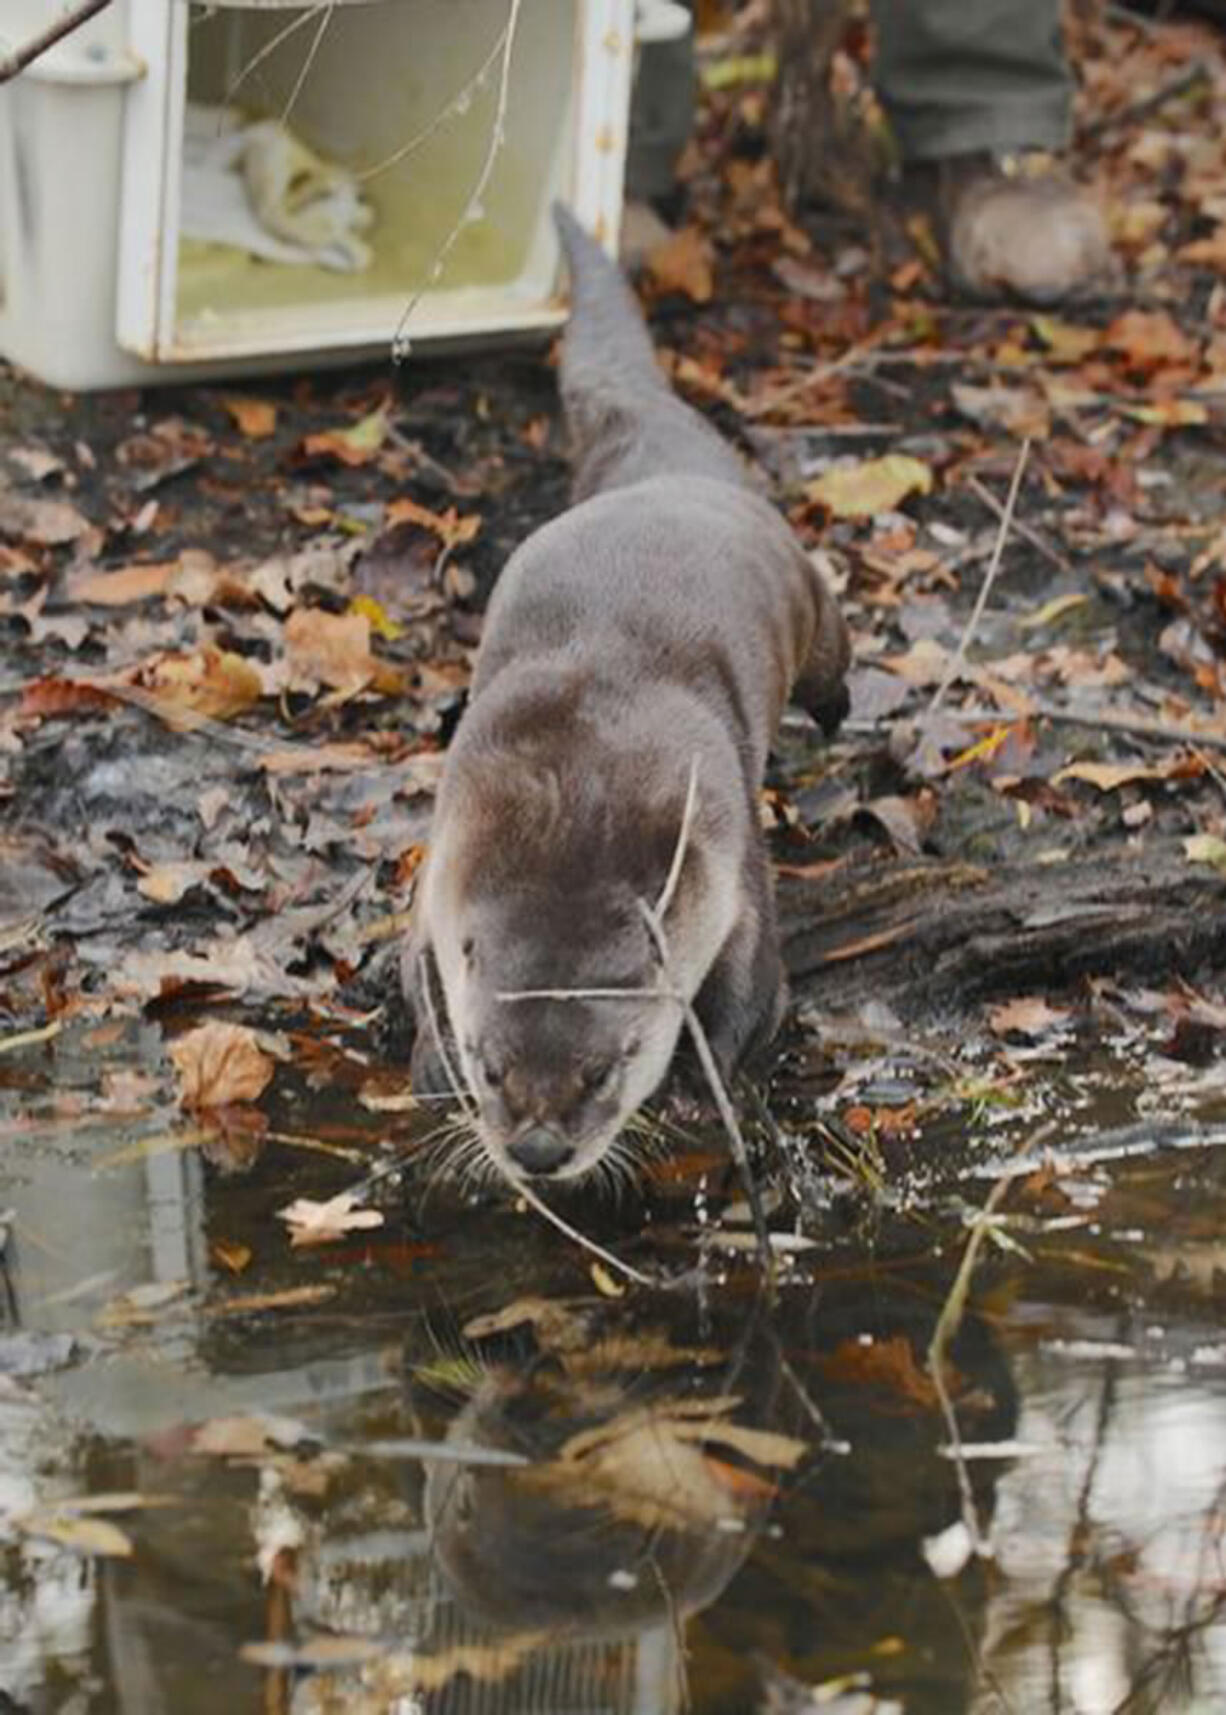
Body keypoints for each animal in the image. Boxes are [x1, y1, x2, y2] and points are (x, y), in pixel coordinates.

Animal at [408, 207, 850, 1186]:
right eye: (490, 1064)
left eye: (605, 1067)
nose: (538, 1149)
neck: (577, 798)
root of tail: (665, 472)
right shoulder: (442, 866)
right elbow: (416, 973)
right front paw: (427, 1066)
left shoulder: (724, 864)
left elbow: (755, 989)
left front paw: (699, 1084)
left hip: (807, 593)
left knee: (833, 656)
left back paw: (840, 715)